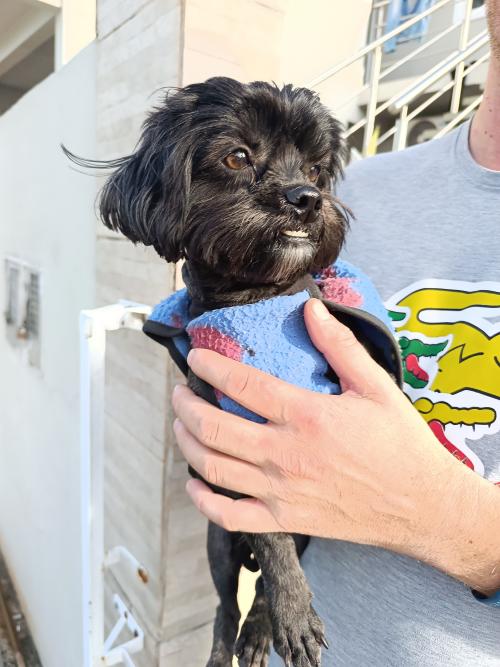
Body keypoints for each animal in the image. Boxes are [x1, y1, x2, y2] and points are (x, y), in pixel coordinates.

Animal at [67, 77, 401, 667]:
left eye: (315, 168)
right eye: (237, 156)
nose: (306, 198)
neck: (255, 300)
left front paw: (288, 615)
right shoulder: (241, 439)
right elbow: (272, 544)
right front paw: (296, 611)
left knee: (261, 580)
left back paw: (265, 628)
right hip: (219, 542)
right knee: (228, 602)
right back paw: (236, 643)